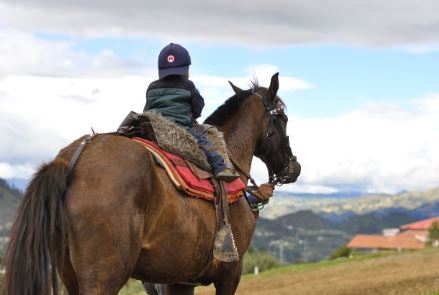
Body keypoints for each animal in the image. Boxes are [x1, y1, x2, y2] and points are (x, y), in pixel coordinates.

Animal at [2, 73, 300, 294]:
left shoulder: (179, 280)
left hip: (72, 275)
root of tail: (74, 158)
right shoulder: (230, 273)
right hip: (103, 276)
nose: (293, 167)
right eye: (283, 117)